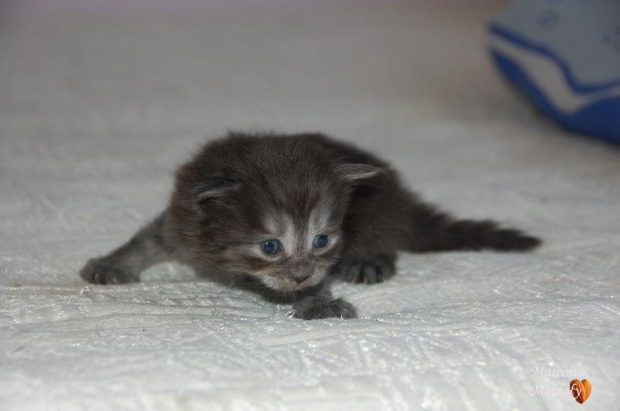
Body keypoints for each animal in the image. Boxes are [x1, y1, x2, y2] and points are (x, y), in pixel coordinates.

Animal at [80, 134, 540, 320]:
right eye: (270, 246)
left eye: (321, 240)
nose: (301, 272)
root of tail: (402, 196)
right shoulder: (182, 220)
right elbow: (145, 240)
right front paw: (111, 263)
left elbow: (318, 279)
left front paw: (318, 302)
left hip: (374, 214)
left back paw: (369, 260)